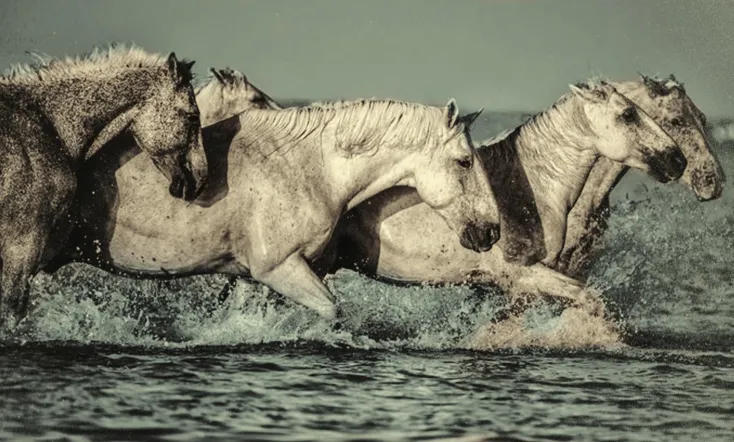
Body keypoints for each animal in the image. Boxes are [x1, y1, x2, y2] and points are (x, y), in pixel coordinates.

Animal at [48, 95, 501, 321]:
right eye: (464, 162)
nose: (491, 231)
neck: (310, 167)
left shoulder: (252, 275)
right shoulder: (280, 269)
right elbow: (331, 310)